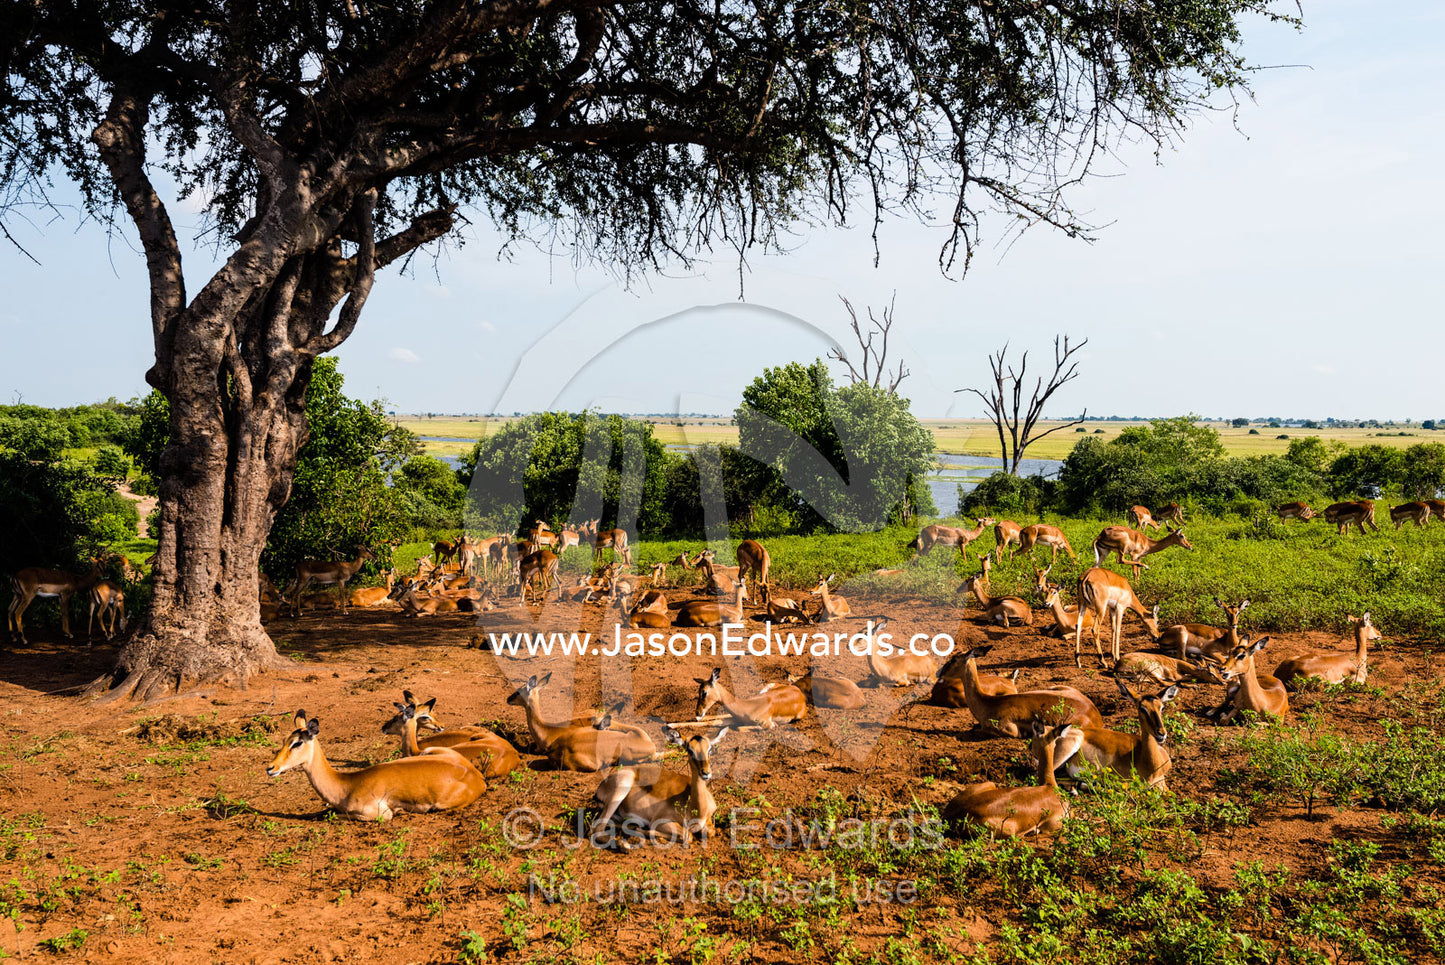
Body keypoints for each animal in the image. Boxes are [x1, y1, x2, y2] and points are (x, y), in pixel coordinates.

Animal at [266, 710, 486, 821]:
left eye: (297, 743)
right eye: (285, 740)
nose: (271, 767)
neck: (347, 786)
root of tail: (477, 777)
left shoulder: (379, 814)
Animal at [590, 727, 729, 848]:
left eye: (709, 749)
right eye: (690, 750)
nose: (706, 773)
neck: (697, 810)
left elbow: (711, 832)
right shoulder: (661, 821)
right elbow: (688, 835)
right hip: (621, 788)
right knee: (596, 829)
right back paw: (625, 843)